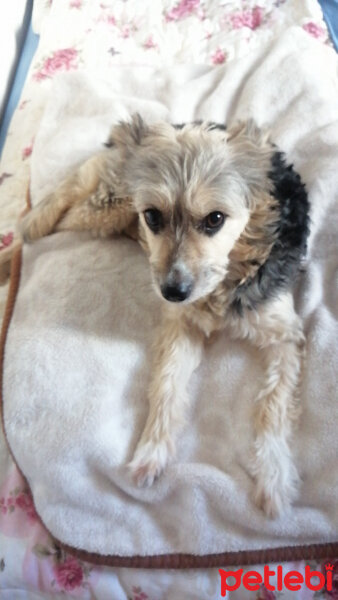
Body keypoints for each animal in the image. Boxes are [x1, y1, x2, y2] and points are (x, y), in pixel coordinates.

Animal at [8, 115, 312, 516]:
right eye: (153, 216)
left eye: (215, 219)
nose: (172, 292)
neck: (231, 269)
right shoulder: (180, 325)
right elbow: (167, 385)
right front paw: (151, 451)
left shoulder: (284, 337)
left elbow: (272, 408)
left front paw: (274, 478)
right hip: (109, 204)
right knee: (67, 203)